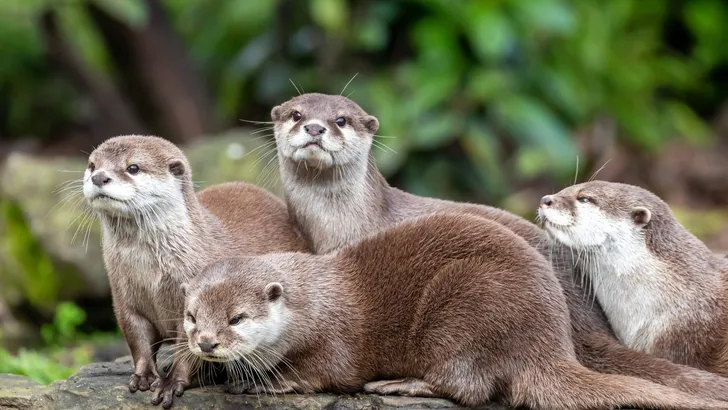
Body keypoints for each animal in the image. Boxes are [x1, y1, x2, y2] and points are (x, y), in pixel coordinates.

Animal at [82, 135, 308, 407]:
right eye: (92, 165)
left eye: (133, 167)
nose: (98, 177)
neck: (150, 274)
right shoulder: (124, 295)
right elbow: (137, 338)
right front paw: (143, 376)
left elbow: (190, 346)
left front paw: (170, 383)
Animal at [183, 213, 728, 410]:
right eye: (191, 316)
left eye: (236, 318)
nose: (206, 342)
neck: (315, 301)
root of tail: (549, 344)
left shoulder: (334, 337)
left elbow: (324, 373)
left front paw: (264, 382)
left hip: (466, 308)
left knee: (468, 387)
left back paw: (401, 385)